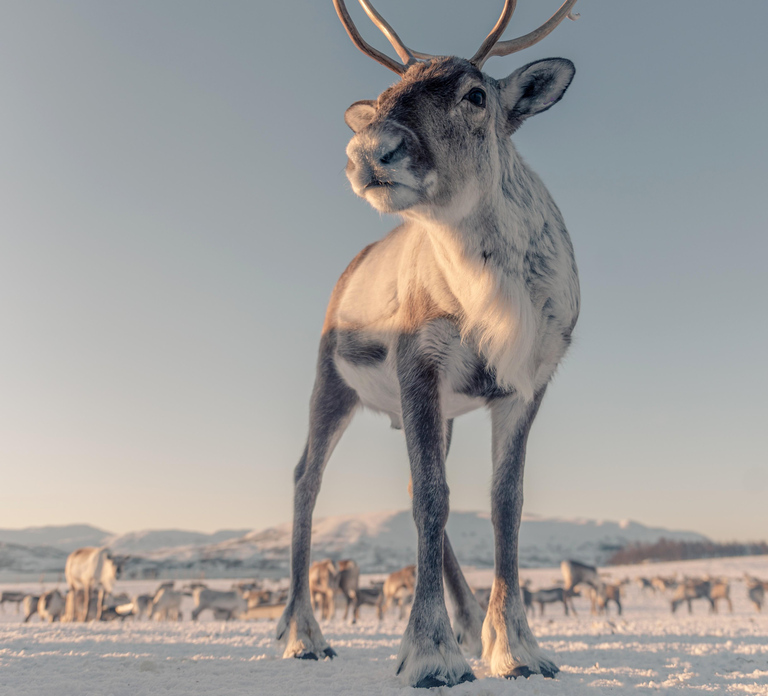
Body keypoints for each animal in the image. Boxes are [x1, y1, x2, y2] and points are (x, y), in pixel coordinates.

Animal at [276, 0, 581, 687]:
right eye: (386, 94)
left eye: (475, 94)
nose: (370, 150)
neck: (496, 301)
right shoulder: (419, 361)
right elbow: (436, 499)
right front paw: (430, 654)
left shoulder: (528, 381)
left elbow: (504, 503)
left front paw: (516, 647)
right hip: (330, 379)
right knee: (308, 478)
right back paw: (303, 634)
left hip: (438, 411)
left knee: (416, 485)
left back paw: (471, 625)